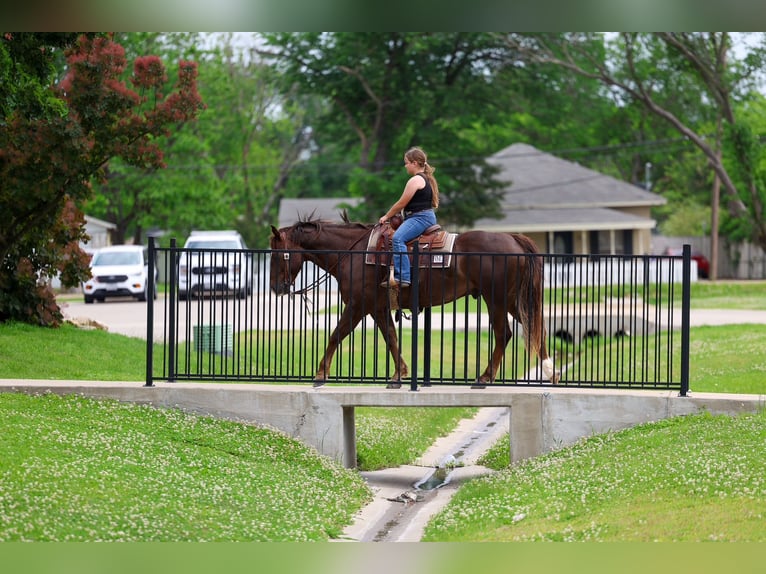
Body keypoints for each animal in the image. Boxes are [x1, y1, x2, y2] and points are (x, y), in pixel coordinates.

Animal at [269, 213, 556, 388]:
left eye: (276, 254)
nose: (275, 288)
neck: (353, 252)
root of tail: (513, 239)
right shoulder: (378, 308)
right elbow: (391, 338)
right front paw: (399, 374)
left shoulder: (358, 306)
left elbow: (336, 335)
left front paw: (320, 374)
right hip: (511, 299)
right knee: (536, 328)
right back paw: (550, 371)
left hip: (495, 299)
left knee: (504, 333)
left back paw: (484, 377)